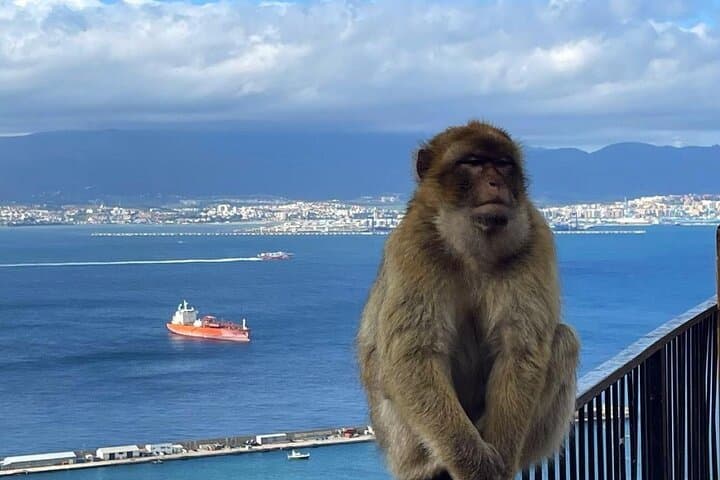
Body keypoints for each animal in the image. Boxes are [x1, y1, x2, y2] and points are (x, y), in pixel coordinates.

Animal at [356, 120, 579, 480]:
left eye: (502, 164)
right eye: (473, 163)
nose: (495, 182)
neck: (474, 246)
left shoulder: (535, 239)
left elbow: (519, 349)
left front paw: (498, 460)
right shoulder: (414, 246)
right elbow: (414, 355)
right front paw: (476, 467)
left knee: (563, 341)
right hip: (401, 443)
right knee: (383, 364)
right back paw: (430, 464)